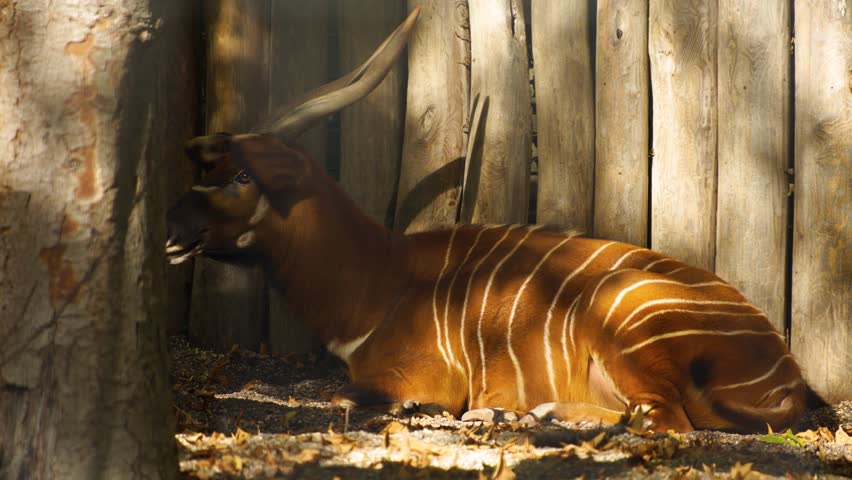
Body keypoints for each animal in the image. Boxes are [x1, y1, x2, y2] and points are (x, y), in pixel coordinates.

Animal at [166, 8, 822, 433]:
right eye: (214, 165)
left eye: (244, 176)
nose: (173, 226)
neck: (382, 278)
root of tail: (786, 375)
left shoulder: (425, 377)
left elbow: (347, 399)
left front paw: (420, 412)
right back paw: (524, 412)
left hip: (625, 322)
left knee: (666, 421)